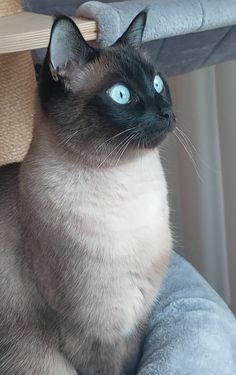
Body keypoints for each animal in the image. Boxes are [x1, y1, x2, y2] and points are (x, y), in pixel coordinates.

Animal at [0, 10, 173, 374]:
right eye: (121, 95)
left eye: (157, 84)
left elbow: (136, 364)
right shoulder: (93, 338)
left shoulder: (136, 325)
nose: (166, 113)